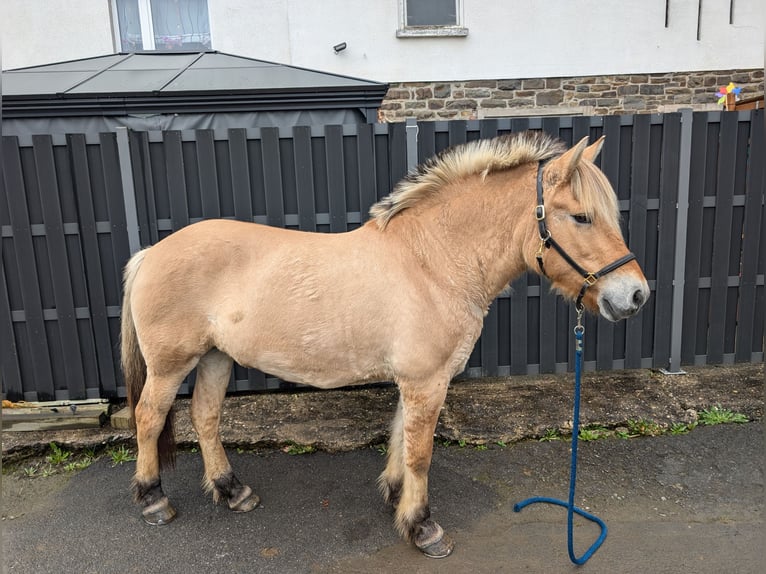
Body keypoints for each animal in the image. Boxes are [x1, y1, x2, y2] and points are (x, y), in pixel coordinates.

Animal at [124, 130, 648, 560]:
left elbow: (400, 438)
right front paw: (423, 527)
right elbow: (420, 452)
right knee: (149, 416)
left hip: (216, 357)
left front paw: (397, 499)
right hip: (171, 364)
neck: (433, 262)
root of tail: (151, 252)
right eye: (581, 217)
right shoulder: (426, 381)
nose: (636, 295)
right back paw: (152, 499)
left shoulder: (415, 381)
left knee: (205, 417)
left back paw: (233, 491)